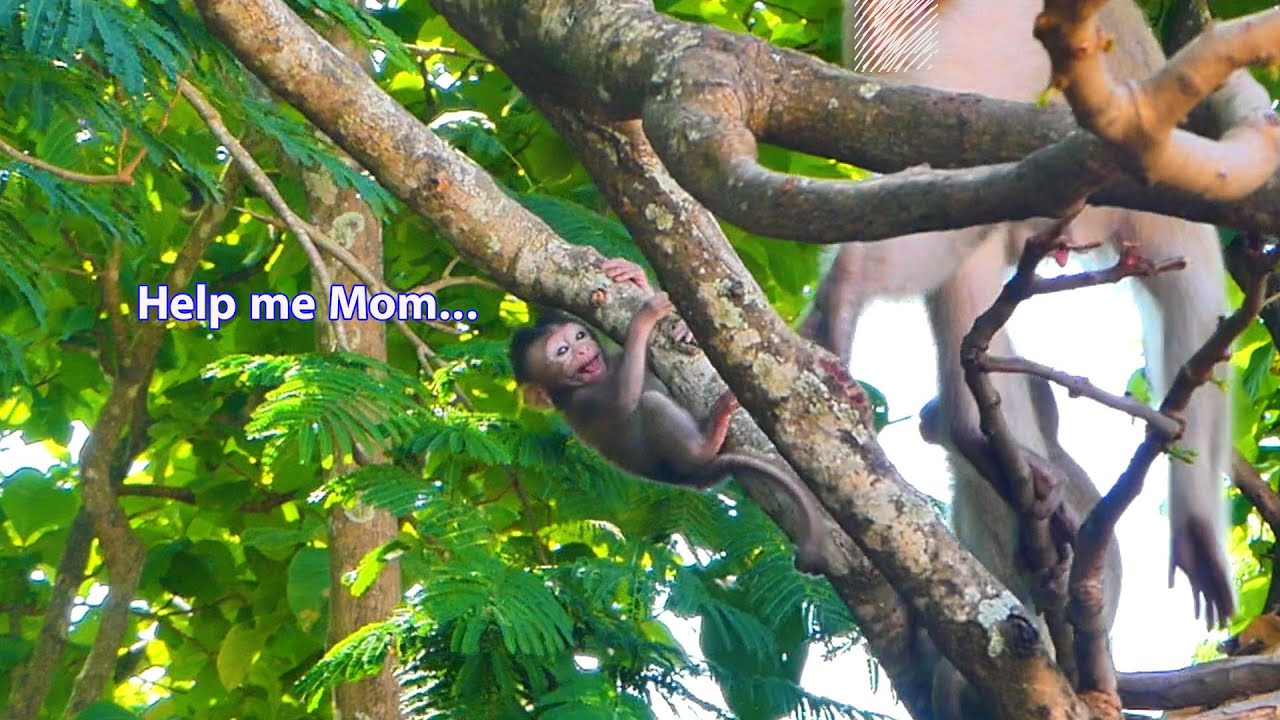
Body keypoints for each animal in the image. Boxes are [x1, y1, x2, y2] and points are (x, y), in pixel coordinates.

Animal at [509, 258, 829, 575]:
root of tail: (694, 477)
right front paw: (646, 314)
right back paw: (709, 440)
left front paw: (635, 277)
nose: (583, 350)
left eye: (579, 336)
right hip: (682, 457)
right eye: (563, 351)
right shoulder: (584, 402)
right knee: (651, 403)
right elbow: (624, 400)